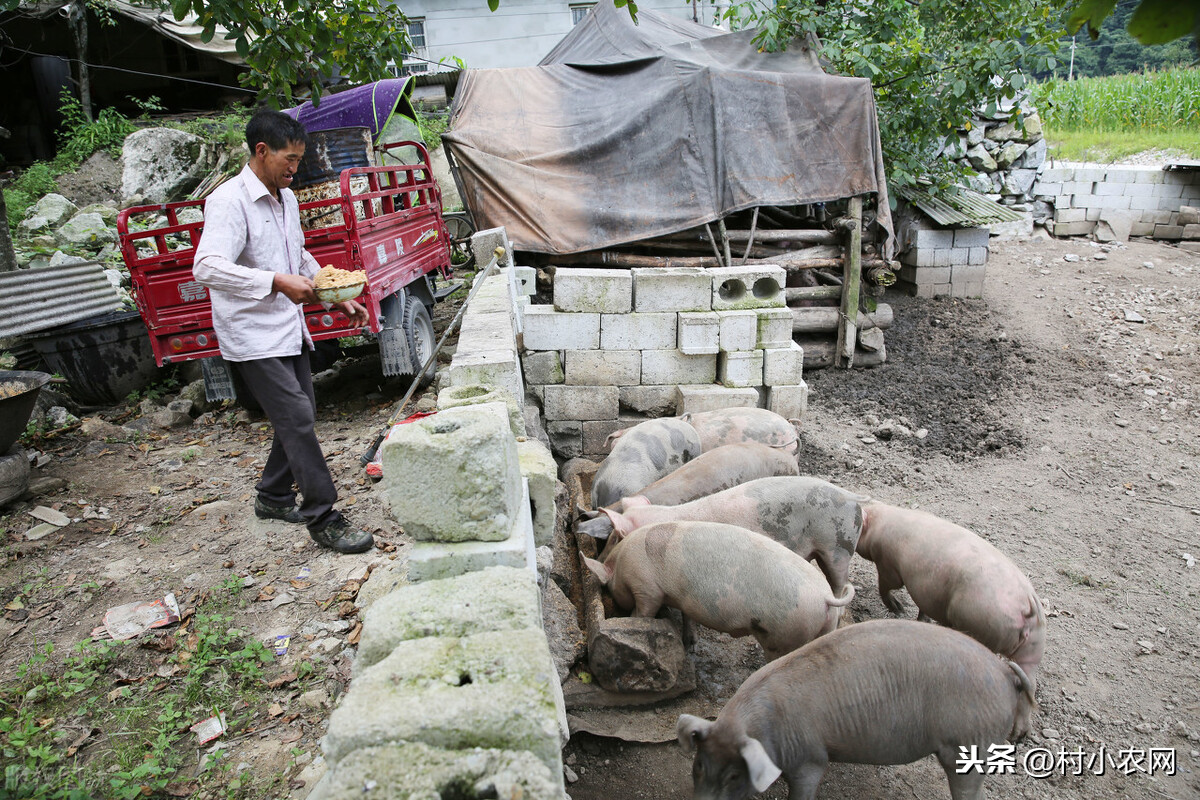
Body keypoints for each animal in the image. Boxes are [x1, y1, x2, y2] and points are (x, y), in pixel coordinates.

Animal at [583, 522, 854, 662]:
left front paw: (632, 619)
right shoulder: (682, 599)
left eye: (608, 587)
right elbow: (687, 617)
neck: (621, 564)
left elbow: (643, 613)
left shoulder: (647, 588)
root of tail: (825, 597)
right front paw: (690, 644)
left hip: (784, 635)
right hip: (826, 626)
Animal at [859, 503, 1046, 686]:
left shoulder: (888, 566)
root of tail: (1026, 609)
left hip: (981, 623)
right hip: (1034, 646)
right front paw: (922, 619)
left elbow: (885, 587)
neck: (878, 524)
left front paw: (899, 609)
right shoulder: (924, 589)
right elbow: (922, 606)